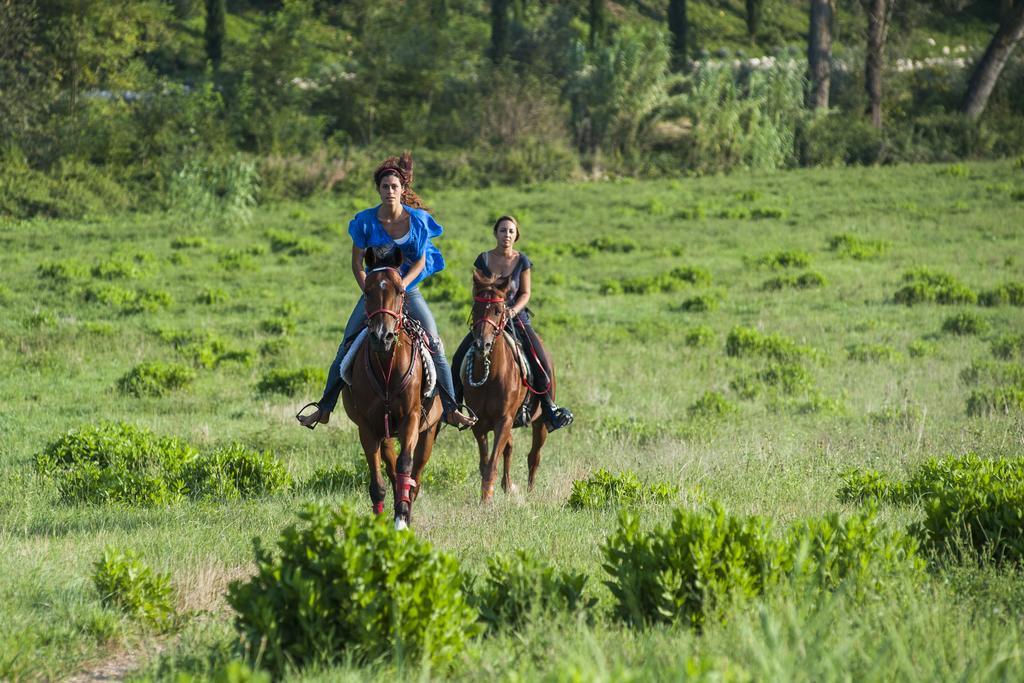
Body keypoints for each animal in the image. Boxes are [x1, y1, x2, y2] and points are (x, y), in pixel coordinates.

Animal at [342, 255, 442, 528]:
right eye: (367, 291)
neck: (387, 366)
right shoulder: (367, 427)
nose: (381, 336)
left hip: (428, 431)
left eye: (400, 291)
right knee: (391, 466)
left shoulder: (411, 419)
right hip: (385, 433)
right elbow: (377, 480)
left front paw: (401, 521)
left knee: (414, 475)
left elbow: (406, 465)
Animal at [462, 270, 548, 501]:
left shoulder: (504, 420)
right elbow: (485, 463)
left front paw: (486, 501)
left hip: (540, 422)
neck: (492, 376)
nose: (482, 345)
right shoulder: (480, 424)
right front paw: (486, 497)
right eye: (476, 307)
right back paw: (508, 486)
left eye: (498, 310)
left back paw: (530, 491)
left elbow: (492, 463)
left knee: (534, 456)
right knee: (509, 449)